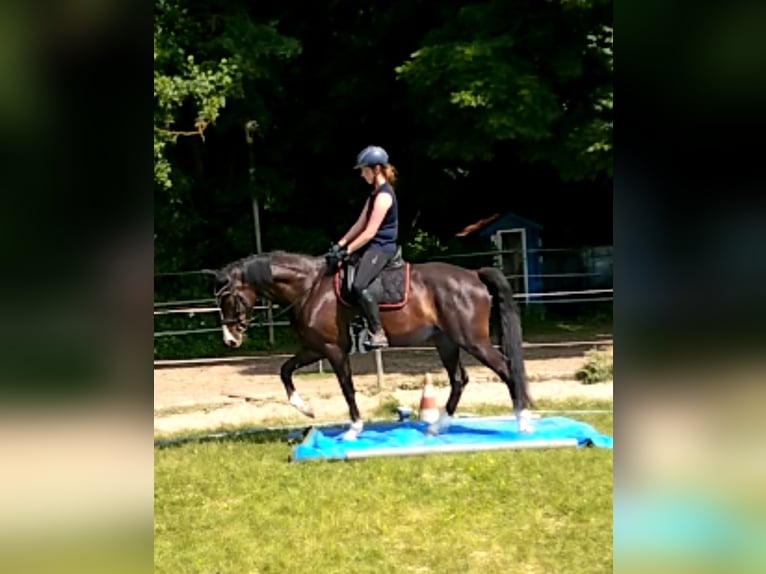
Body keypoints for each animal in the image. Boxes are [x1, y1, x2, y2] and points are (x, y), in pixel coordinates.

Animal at [208, 249, 534, 440]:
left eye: (228, 298)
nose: (230, 339)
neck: (310, 287)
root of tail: (473, 275)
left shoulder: (333, 349)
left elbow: (347, 388)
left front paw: (354, 429)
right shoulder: (314, 348)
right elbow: (285, 371)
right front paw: (306, 409)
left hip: (473, 341)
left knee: (506, 370)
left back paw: (523, 422)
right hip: (446, 341)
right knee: (459, 379)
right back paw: (437, 426)